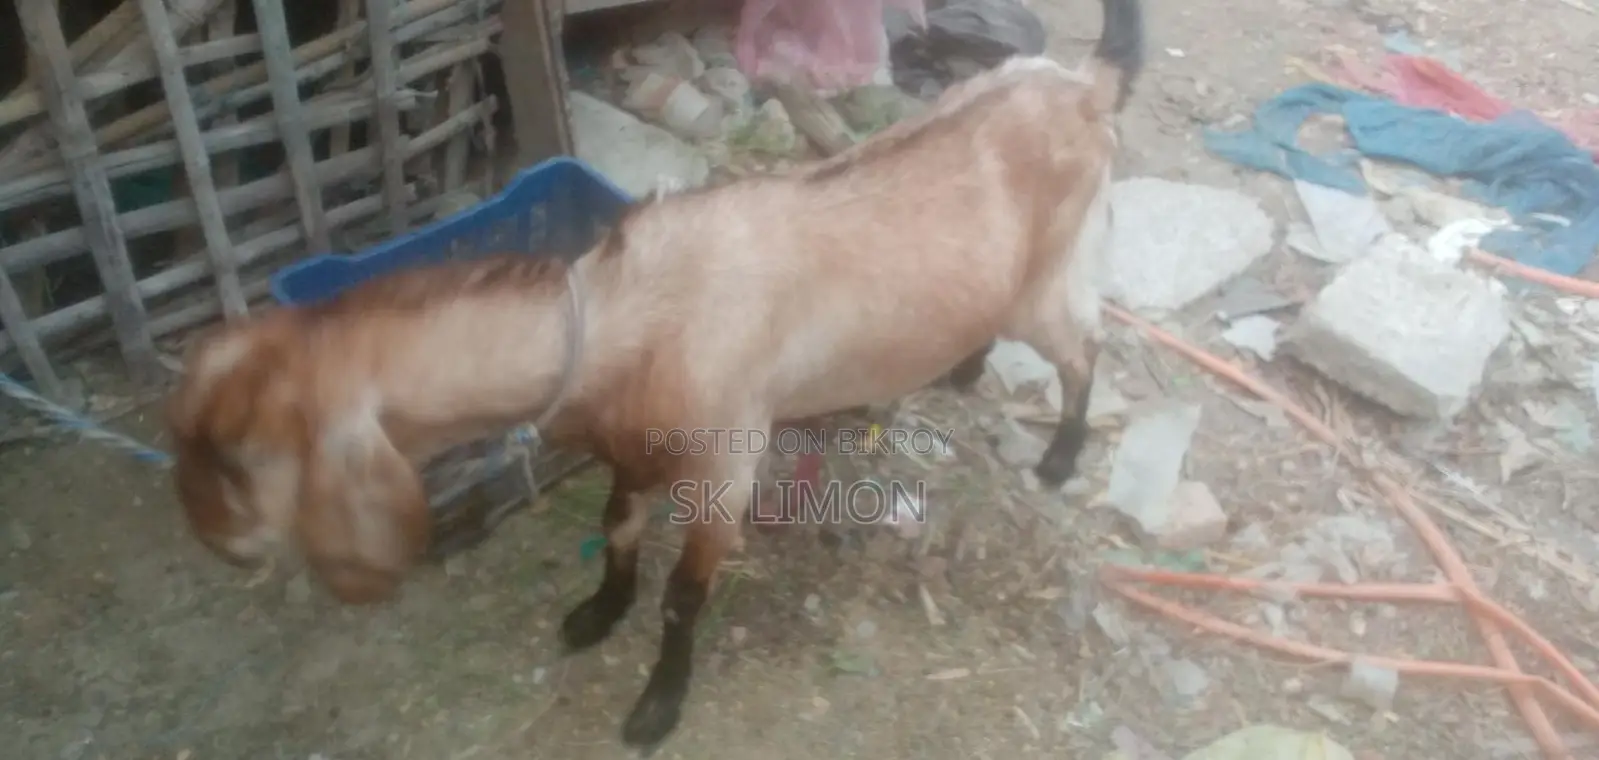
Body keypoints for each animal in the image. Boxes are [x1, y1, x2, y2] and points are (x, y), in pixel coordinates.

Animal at [164, 0, 1144, 747]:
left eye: (243, 459)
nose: (214, 545)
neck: (620, 318)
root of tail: (1082, 87)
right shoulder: (629, 451)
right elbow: (617, 527)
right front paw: (597, 614)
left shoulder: (722, 473)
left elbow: (681, 599)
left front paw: (656, 705)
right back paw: (965, 370)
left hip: (1052, 278)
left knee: (1083, 348)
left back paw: (1060, 458)